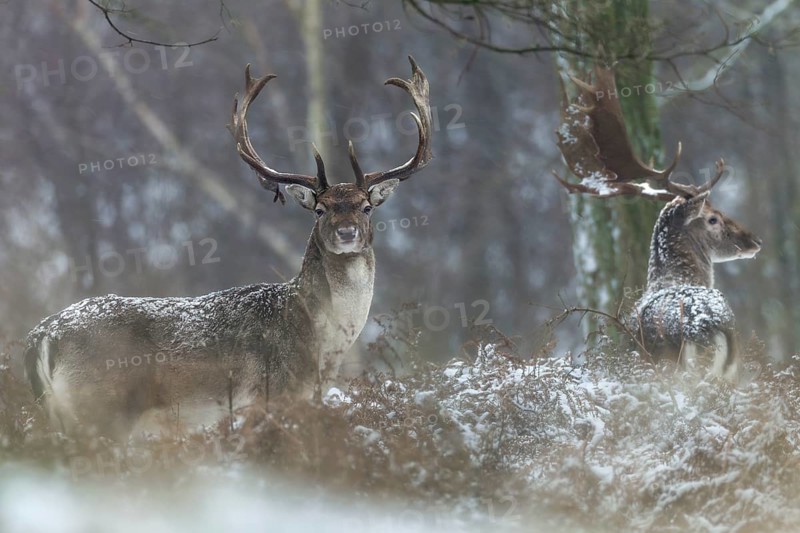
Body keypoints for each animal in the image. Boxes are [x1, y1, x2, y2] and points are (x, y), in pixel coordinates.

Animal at [23, 56, 432, 439]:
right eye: (320, 209)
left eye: (366, 207)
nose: (347, 232)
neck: (319, 342)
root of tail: (42, 337)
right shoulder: (271, 396)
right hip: (100, 409)